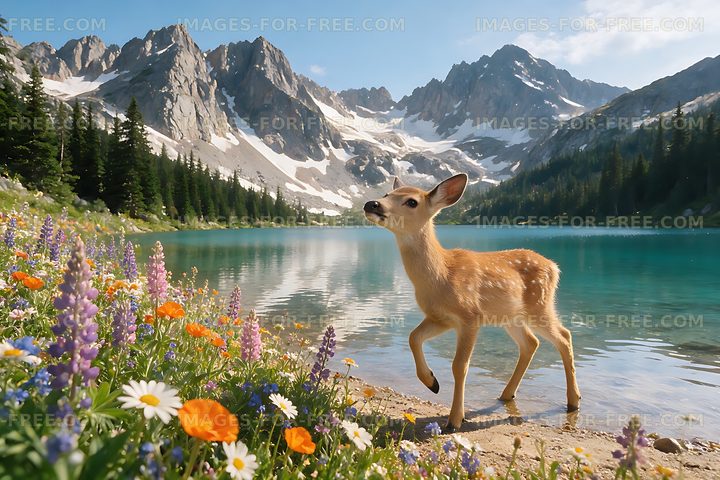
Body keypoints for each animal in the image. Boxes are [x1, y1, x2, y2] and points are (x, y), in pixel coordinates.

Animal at [363, 173, 581, 432]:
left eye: (412, 201)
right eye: (387, 194)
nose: (372, 204)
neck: (441, 276)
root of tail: (555, 267)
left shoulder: (470, 316)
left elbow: (459, 366)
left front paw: (455, 419)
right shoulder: (440, 317)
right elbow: (413, 337)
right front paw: (432, 382)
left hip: (540, 305)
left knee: (564, 336)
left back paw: (573, 401)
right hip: (510, 316)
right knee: (531, 342)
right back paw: (507, 394)